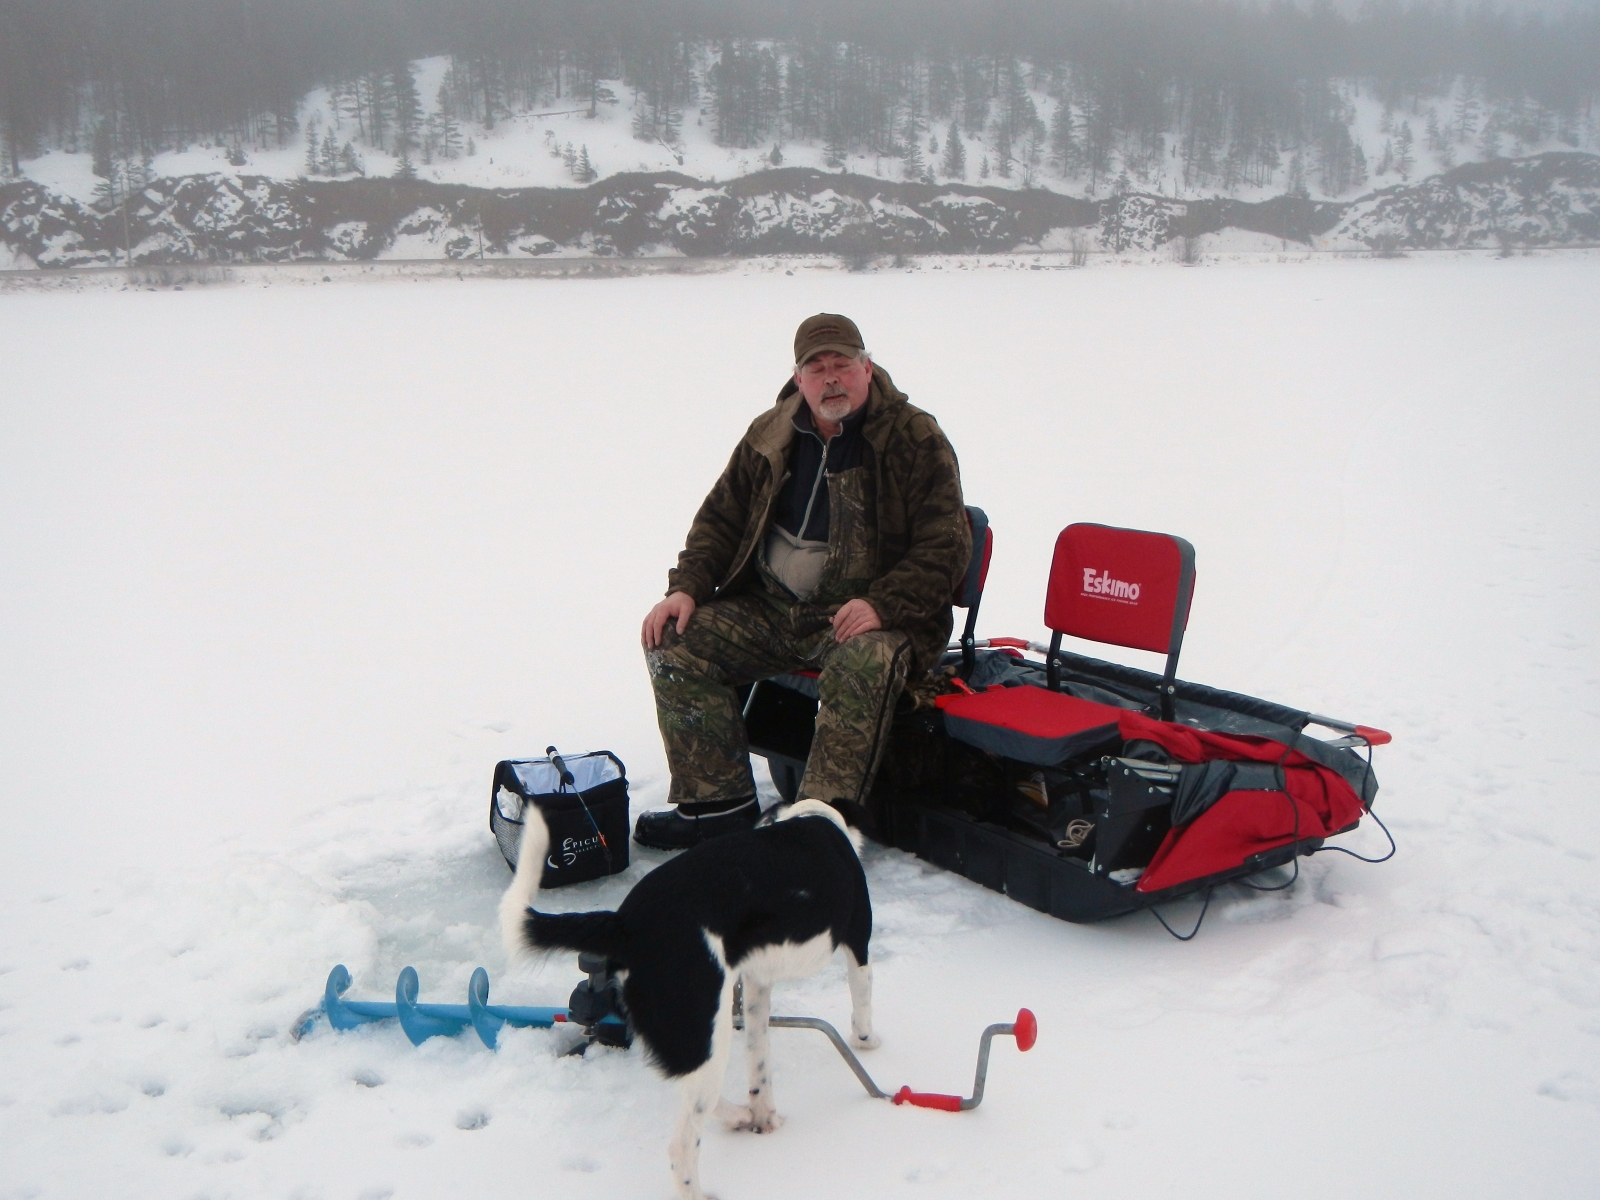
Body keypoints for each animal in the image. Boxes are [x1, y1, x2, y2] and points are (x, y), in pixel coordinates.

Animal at [499, 798, 877, 1200]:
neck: (811, 818)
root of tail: (624, 925)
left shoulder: (757, 984)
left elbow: (759, 1061)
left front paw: (764, 1115)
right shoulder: (858, 942)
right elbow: (862, 1001)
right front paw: (867, 1043)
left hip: (689, 1034)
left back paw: (743, 1115)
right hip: (704, 1034)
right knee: (681, 1145)